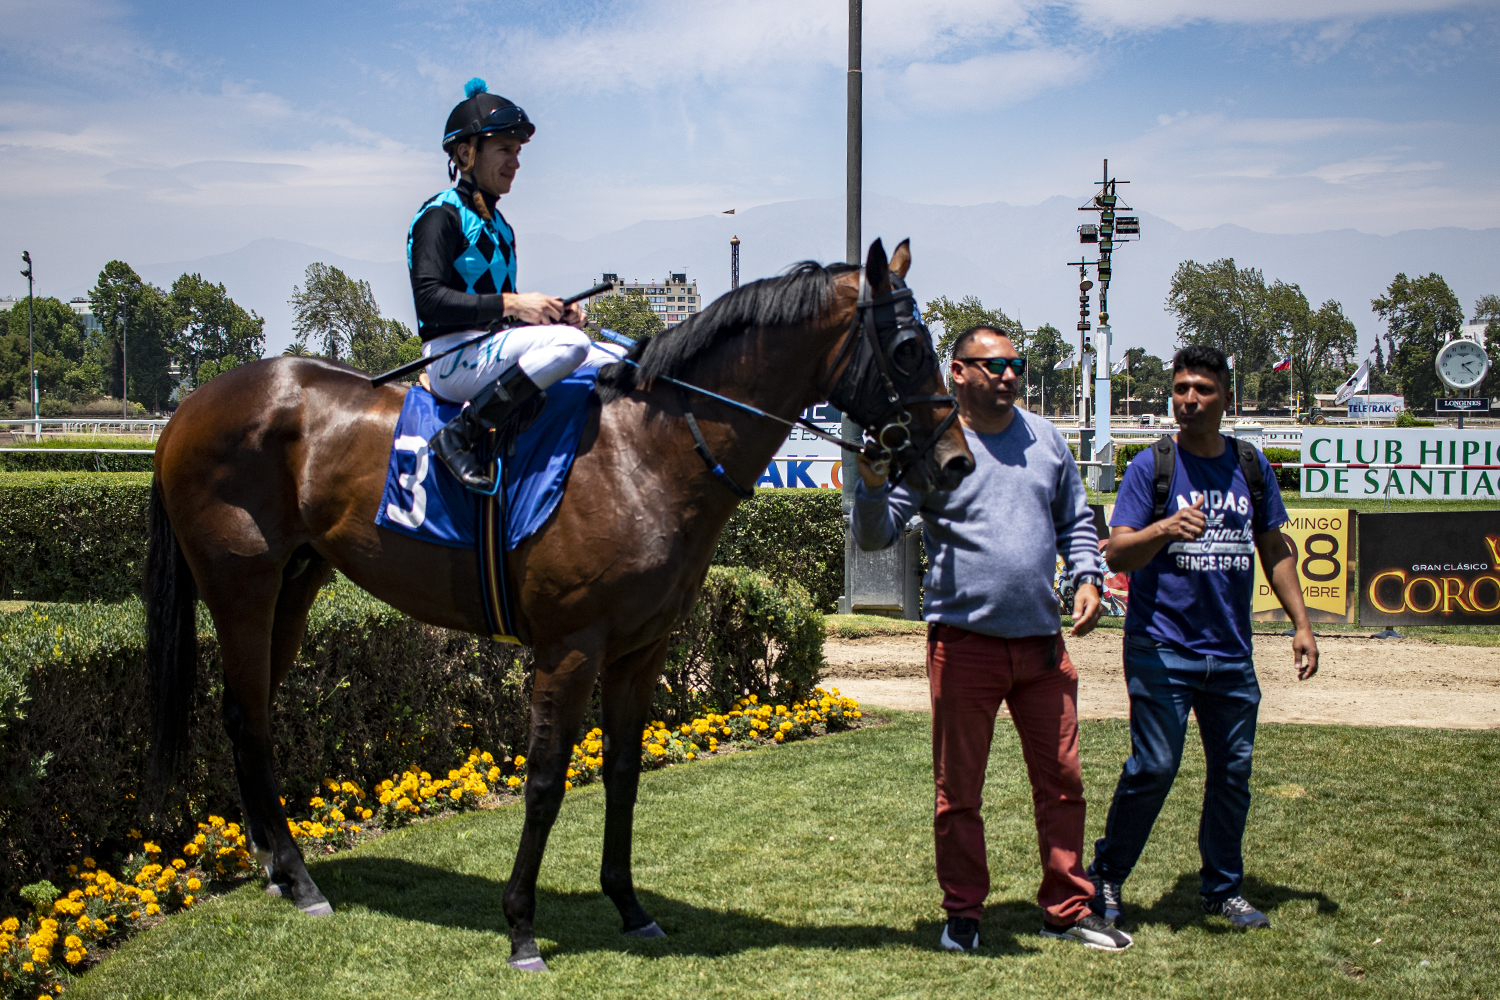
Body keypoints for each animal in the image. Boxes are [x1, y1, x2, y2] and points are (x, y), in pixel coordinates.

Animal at [146, 238, 974, 971]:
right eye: (908, 348)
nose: (956, 461)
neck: (645, 454)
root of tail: (190, 405)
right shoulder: (570, 646)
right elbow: (545, 781)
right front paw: (521, 928)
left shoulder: (642, 648)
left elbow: (623, 771)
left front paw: (631, 908)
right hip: (241, 582)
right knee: (246, 712)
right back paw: (299, 876)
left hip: (298, 580)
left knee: (249, 710)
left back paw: (277, 867)